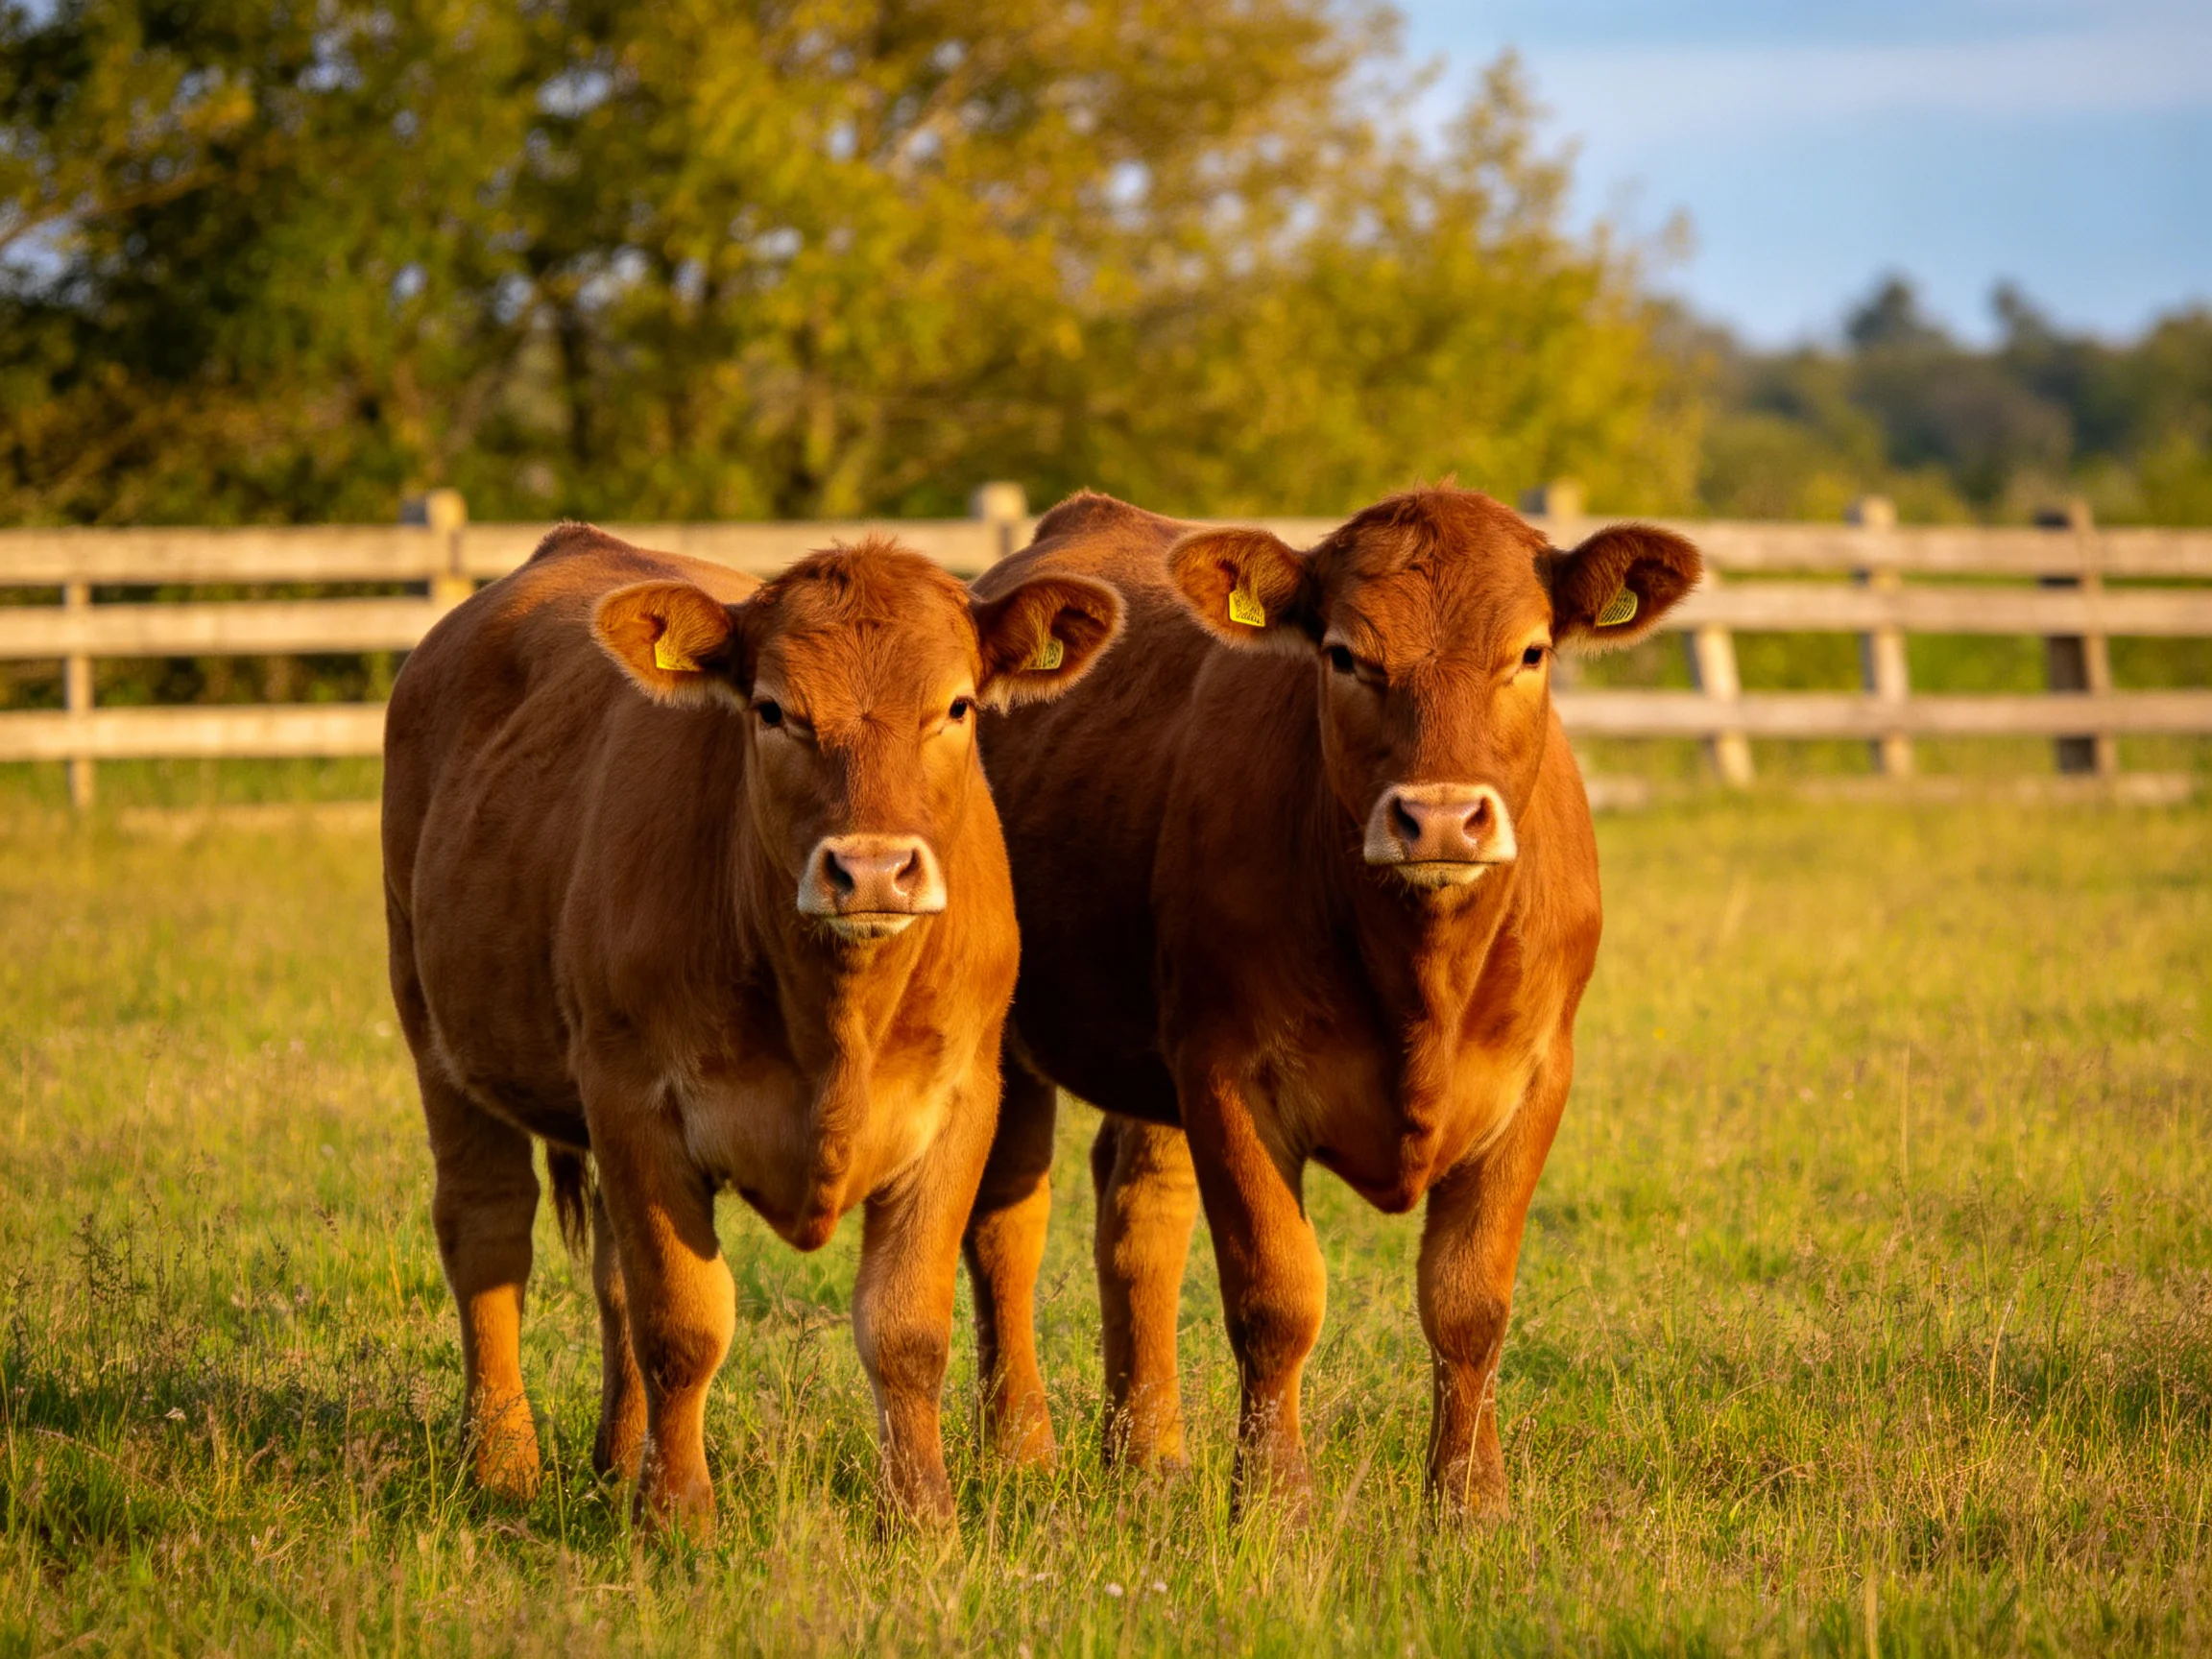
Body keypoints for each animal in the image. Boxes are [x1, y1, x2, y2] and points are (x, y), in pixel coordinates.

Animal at [380, 526, 1122, 1531]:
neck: (833, 1019)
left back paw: (615, 1459)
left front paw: (920, 1511)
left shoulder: (963, 1098)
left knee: (610, 1271)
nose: (872, 869)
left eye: (958, 705)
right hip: (435, 1032)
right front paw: (677, 1513)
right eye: (774, 711)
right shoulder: (635, 1096)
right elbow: (684, 1320)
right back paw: (502, 1462)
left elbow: (906, 1326)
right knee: (488, 1231)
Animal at [961, 486, 1700, 1516]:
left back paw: (1147, 1458)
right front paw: (1274, 1501)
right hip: (1010, 1036)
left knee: (1139, 1215)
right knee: (1007, 1223)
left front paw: (1471, 1504)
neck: (1422, 974)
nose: (1440, 817)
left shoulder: (1537, 1077)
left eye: (1530, 652)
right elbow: (1276, 1296)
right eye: (1347, 655)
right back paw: (1019, 1453)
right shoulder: (1228, 1075)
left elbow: (1469, 1301)